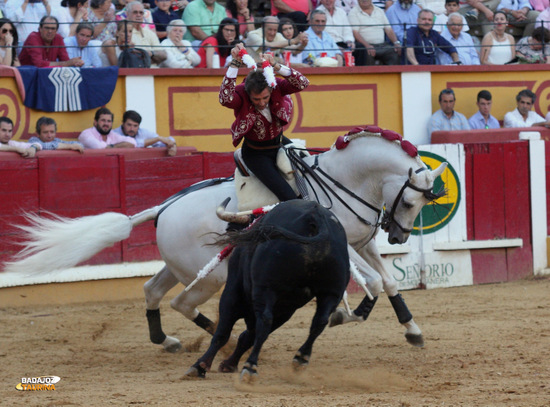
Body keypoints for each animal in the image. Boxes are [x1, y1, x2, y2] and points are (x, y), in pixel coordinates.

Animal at [5, 131, 448, 354]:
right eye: (411, 201)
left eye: (422, 204)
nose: (398, 234)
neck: (342, 180)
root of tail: (164, 206)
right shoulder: (345, 250)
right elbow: (370, 283)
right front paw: (344, 314)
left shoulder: (362, 242)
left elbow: (388, 282)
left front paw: (412, 330)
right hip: (211, 275)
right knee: (182, 302)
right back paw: (225, 337)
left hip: (180, 267)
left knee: (152, 290)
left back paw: (167, 340)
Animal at [185, 201, 350, 380]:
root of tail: (315, 217)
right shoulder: (286, 310)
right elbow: (248, 336)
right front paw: (229, 364)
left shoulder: (232, 290)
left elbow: (224, 332)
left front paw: (200, 366)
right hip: (331, 293)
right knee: (319, 321)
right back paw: (300, 359)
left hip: (266, 288)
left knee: (264, 321)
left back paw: (250, 367)